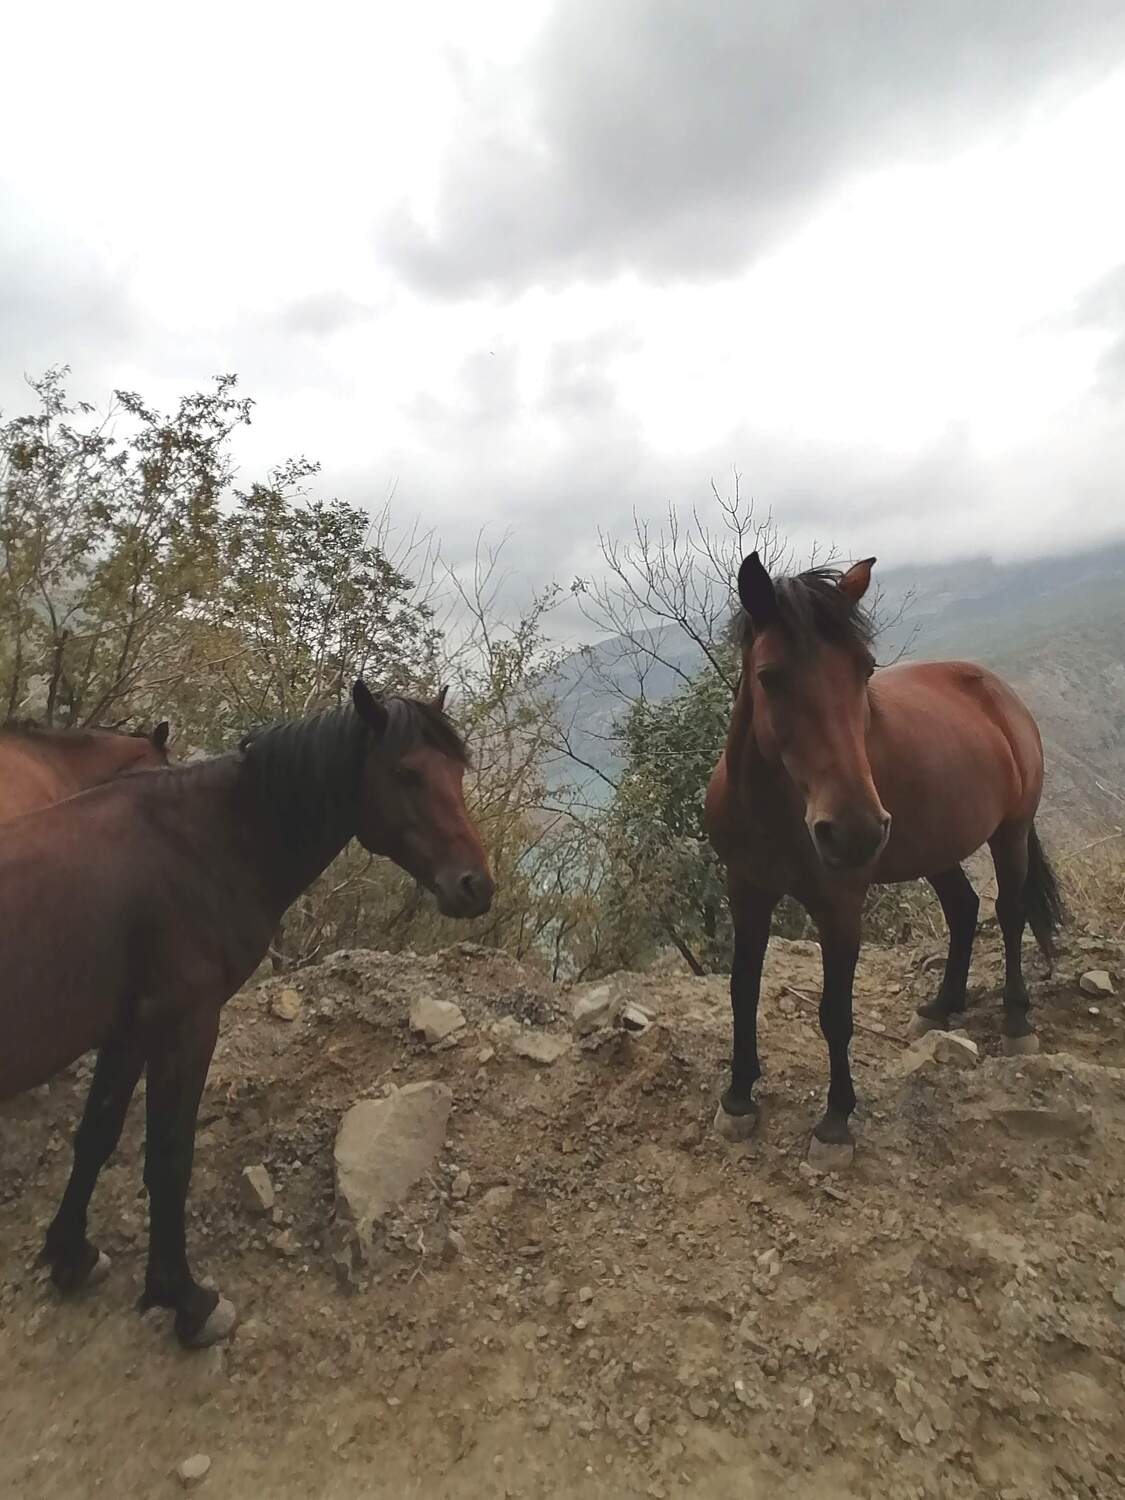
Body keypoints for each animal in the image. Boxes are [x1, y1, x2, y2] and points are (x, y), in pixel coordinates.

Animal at [704, 553, 1063, 1168]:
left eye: (864, 670)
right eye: (770, 676)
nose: (855, 831)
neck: (774, 808)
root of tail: (998, 691)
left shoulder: (841, 906)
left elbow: (834, 1013)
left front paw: (835, 1121)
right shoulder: (745, 889)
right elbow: (742, 989)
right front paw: (739, 1097)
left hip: (1010, 833)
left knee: (1010, 913)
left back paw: (1017, 1021)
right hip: (935, 844)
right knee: (964, 909)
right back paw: (940, 1008)